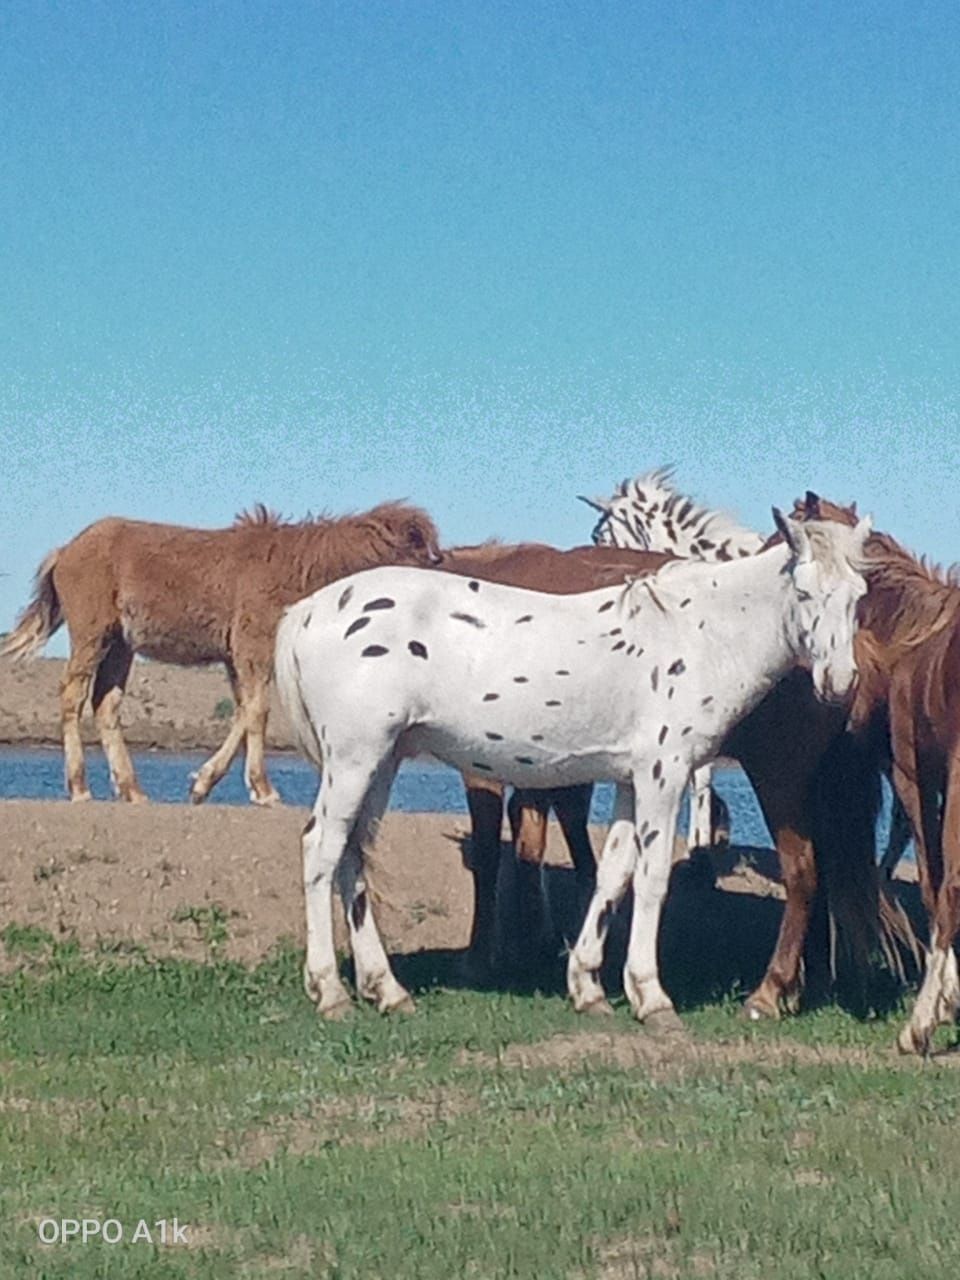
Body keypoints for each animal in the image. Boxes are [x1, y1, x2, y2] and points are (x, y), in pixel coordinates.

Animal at [0, 499, 442, 798]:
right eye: (419, 554)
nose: (444, 571)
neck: (298, 571)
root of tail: (65, 551)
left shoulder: (235, 656)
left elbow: (244, 711)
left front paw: (203, 782)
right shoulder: (252, 645)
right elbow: (258, 712)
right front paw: (263, 790)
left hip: (122, 645)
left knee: (106, 703)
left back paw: (132, 790)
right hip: (93, 633)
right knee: (72, 695)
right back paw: (79, 787)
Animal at [273, 509, 870, 1018]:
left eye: (858, 596)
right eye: (803, 591)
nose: (839, 683)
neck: (697, 633)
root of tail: (309, 610)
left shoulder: (631, 779)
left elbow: (613, 873)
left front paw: (589, 986)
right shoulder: (664, 774)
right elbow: (652, 876)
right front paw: (652, 996)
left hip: (381, 761)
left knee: (351, 855)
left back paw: (387, 990)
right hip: (356, 758)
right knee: (320, 850)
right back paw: (330, 991)